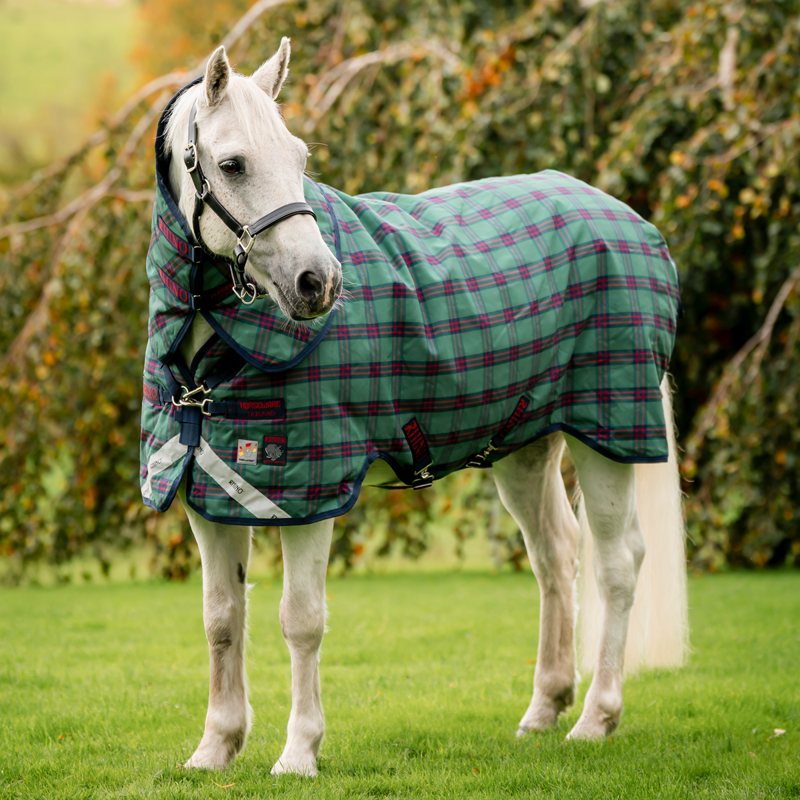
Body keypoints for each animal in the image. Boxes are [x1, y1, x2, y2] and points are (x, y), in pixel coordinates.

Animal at [146, 41, 688, 776]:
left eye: (300, 157)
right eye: (232, 164)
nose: (319, 282)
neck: (213, 360)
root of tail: (629, 220)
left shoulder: (309, 495)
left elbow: (300, 619)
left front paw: (299, 752)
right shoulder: (211, 488)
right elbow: (222, 619)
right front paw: (214, 747)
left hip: (605, 434)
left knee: (617, 562)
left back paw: (596, 720)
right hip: (524, 448)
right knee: (555, 556)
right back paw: (545, 709)